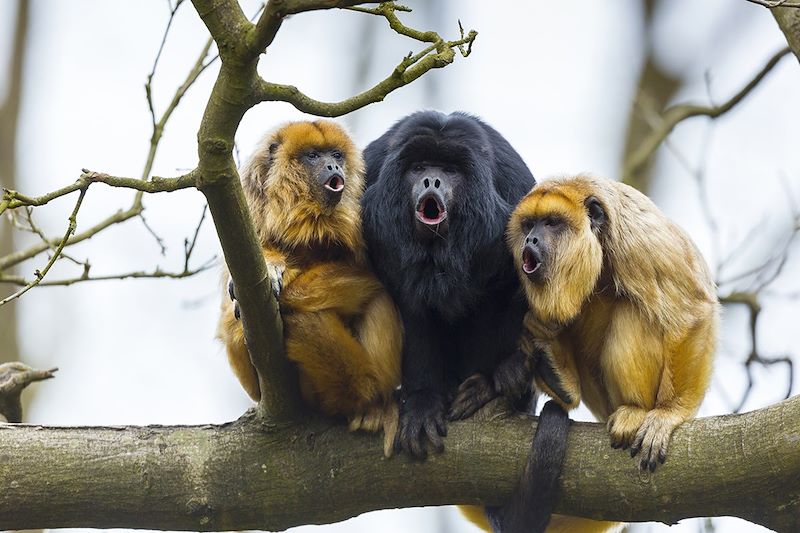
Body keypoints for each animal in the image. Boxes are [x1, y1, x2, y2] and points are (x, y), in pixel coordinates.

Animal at [219, 120, 404, 448]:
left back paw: (367, 396)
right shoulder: (250, 211)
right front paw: (272, 266)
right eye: (313, 156)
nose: (333, 165)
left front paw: (288, 292)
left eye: (336, 155)